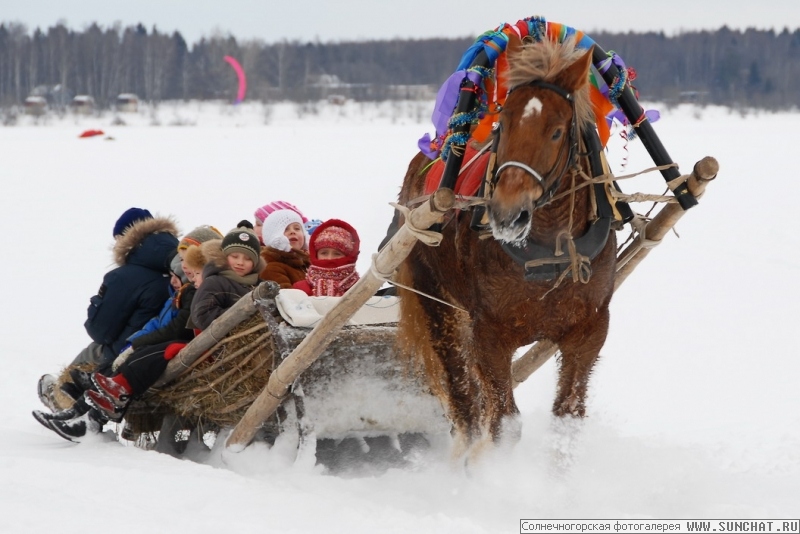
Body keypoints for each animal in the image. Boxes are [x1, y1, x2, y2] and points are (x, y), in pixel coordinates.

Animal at [396, 37, 616, 458]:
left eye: (557, 131)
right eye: (505, 122)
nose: (506, 214)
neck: (548, 252)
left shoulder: (589, 330)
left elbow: (567, 419)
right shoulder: (489, 333)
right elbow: (504, 422)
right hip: (436, 302)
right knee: (465, 397)